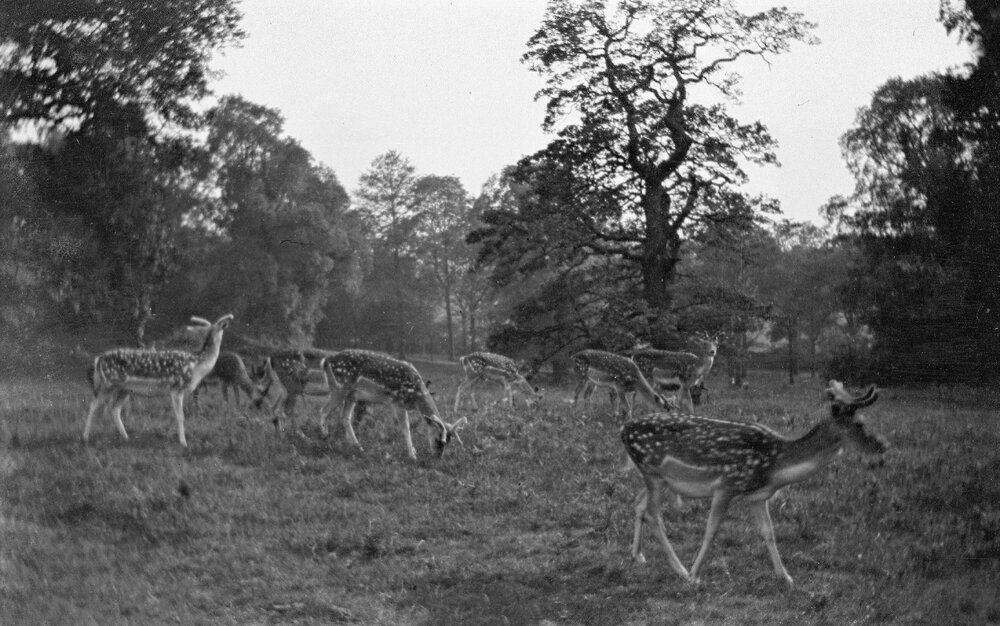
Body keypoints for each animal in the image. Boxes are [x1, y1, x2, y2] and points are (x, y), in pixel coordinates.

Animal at [83, 314, 234, 447]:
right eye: (220, 326)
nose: (228, 321)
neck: (196, 366)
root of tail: (98, 360)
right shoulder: (176, 387)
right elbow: (180, 416)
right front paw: (183, 443)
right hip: (108, 384)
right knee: (93, 406)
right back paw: (85, 437)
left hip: (124, 389)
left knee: (114, 410)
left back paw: (126, 437)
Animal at [322, 349, 467, 460]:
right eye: (438, 439)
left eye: (448, 442)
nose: (438, 457)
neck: (415, 396)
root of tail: (326, 360)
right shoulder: (397, 403)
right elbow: (406, 428)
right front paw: (413, 455)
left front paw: (414, 451)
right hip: (339, 388)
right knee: (324, 410)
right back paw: (326, 441)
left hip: (352, 395)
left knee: (345, 417)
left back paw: (357, 446)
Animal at [622, 380, 887, 588]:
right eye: (859, 424)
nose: (883, 445)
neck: (774, 467)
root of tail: (623, 430)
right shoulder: (727, 484)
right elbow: (711, 530)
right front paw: (695, 576)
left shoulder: (758, 497)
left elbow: (769, 533)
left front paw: (785, 577)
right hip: (652, 470)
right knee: (654, 515)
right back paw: (680, 569)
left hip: (659, 479)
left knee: (639, 503)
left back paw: (638, 555)